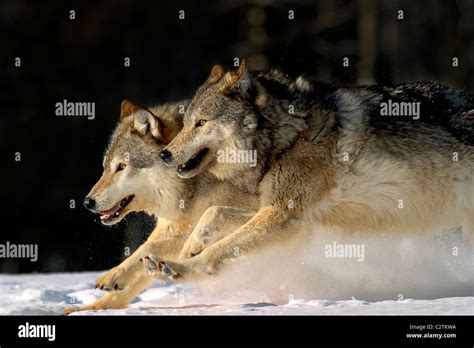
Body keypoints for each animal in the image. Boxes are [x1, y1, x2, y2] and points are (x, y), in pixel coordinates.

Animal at [63, 99, 258, 314]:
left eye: (121, 167)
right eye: (105, 168)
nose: (87, 202)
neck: (190, 186)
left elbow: (149, 246)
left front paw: (115, 274)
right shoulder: (170, 226)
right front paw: (90, 308)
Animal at [151, 59, 474, 282]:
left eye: (201, 123)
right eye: (186, 123)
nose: (164, 155)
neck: (290, 134)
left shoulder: (283, 215)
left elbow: (219, 250)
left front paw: (181, 267)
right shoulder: (293, 218)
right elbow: (212, 212)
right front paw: (188, 248)